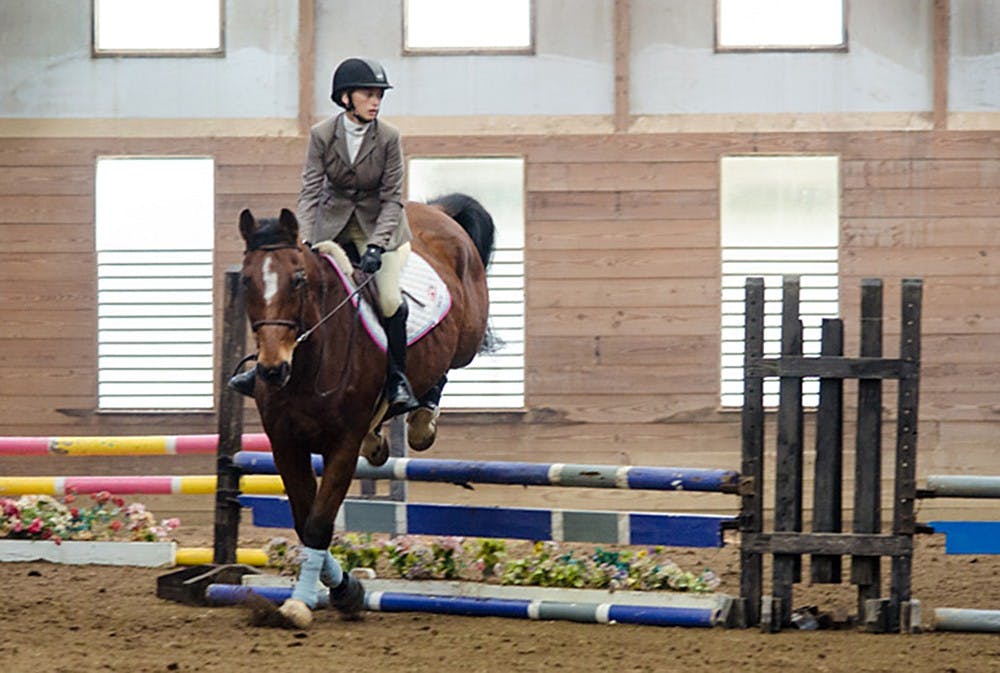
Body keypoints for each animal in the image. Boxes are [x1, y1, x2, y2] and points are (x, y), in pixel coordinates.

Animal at [236, 194, 494, 628]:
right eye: (246, 280)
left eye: (298, 280)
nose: (272, 370)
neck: (308, 363)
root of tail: (436, 210)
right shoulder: (286, 444)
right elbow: (305, 522)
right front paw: (344, 590)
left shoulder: (341, 445)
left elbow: (319, 524)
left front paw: (307, 601)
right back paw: (378, 441)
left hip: (468, 339)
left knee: (444, 366)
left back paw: (420, 418)